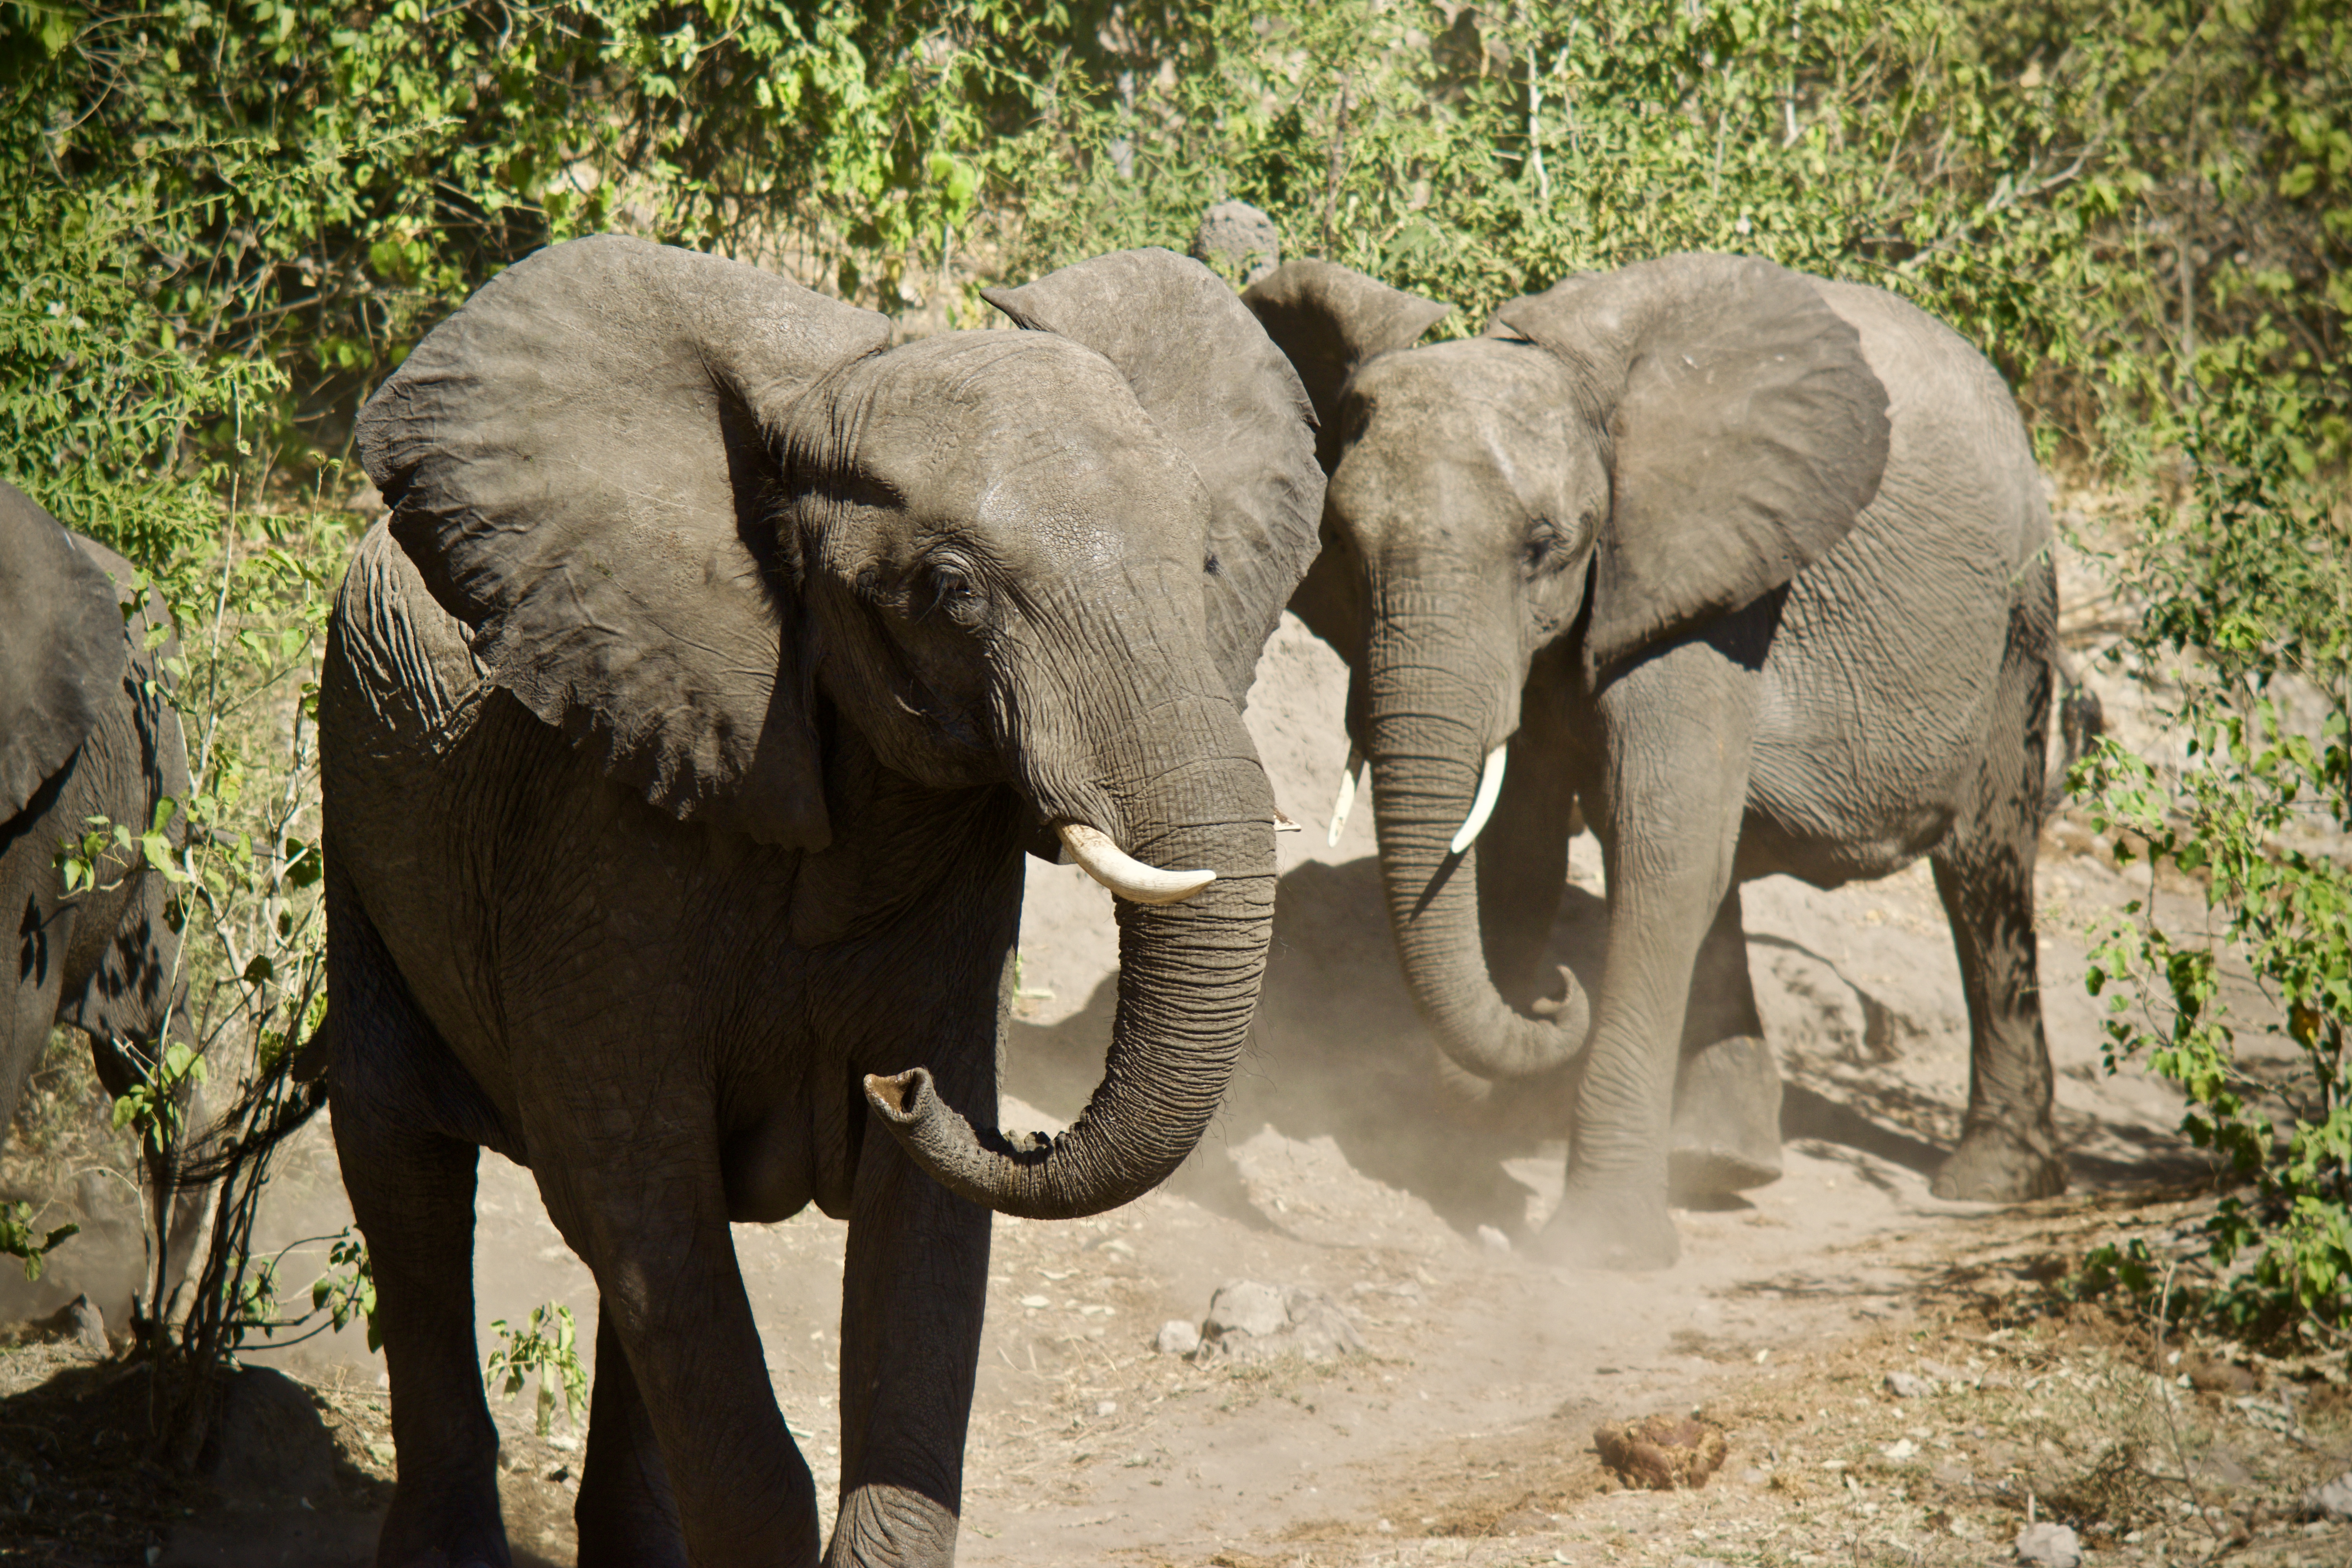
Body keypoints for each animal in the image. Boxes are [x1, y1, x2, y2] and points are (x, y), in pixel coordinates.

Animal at [325, 234, 1321, 1566]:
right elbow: (635, 1190)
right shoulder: (604, 846)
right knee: (409, 1172)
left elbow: (915, 1255)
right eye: (950, 589)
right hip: (356, 793)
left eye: (1207, 561)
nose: (902, 1089)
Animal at [1243, 252, 2079, 1269]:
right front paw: (1463, 1134)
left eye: (1544, 546)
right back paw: (1722, 1164)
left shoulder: (1711, 585)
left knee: (1982, 868)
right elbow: (1524, 851)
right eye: (1341, 543)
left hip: (2019, 619)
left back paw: (1988, 1184)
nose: (1553, 1000)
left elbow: (1659, 846)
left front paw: (1598, 1251)